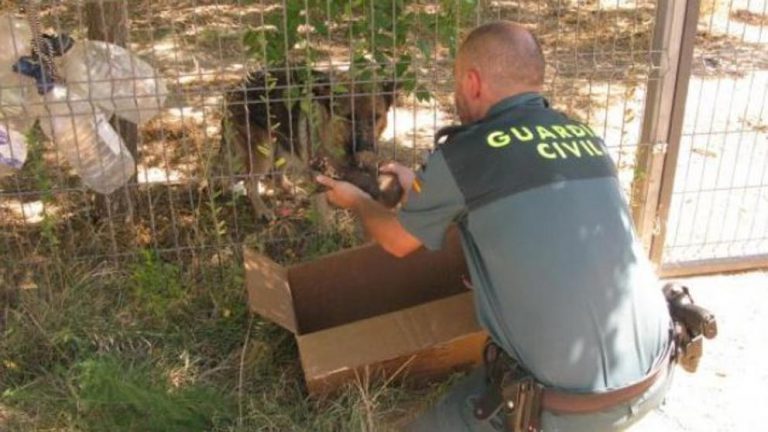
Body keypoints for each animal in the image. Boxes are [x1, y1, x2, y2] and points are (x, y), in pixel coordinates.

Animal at [219, 69, 400, 221]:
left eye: (376, 117)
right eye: (349, 117)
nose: (366, 147)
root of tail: (236, 88)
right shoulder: (318, 176)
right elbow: (323, 211)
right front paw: (328, 234)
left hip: (285, 146)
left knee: (276, 176)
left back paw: (293, 191)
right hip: (264, 152)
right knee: (250, 183)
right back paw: (262, 210)